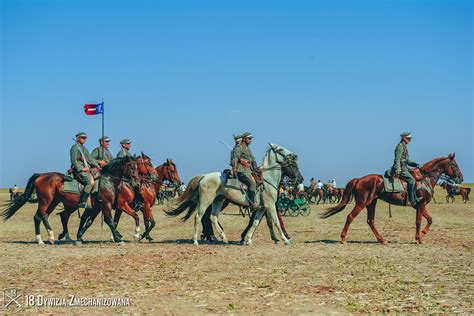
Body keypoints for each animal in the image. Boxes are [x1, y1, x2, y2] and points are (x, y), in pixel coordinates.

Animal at [0, 157, 139, 246]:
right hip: (45, 201)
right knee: (38, 217)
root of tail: (42, 175)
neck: (107, 181)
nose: (137, 181)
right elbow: (110, 221)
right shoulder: (106, 205)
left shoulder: (97, 207)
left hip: (54, 201)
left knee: (48, 216)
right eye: (132, 167)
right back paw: (40, 240)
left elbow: (89, 222)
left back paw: (53, 237)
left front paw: (79, 237)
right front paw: (119, 238)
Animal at [165, 144, 302, 246]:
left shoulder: (262, 208)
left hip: (218, 201)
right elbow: (277, 222)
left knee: (213, 217)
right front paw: (285, 240)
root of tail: (204, 176)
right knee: (199, 217)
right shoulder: (270, 206)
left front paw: (248, 239)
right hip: (206, 201)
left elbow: (255, 222)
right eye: (281, 149)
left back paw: (223, 237)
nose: (300, 179)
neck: (267, 179)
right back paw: (196, 240)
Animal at [322, 154, 462, 246]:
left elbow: (430, 220)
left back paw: (382, 240)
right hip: (362, 203)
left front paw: (421, 234)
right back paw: (343, 239)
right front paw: (419, 238)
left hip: (371, 203)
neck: (425, 179)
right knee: (350, 217)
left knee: (370, 221)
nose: (461, 178)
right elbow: (418, 221)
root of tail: (359, 179)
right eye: (454, 165)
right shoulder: (421, 205)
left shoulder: (420, 206)